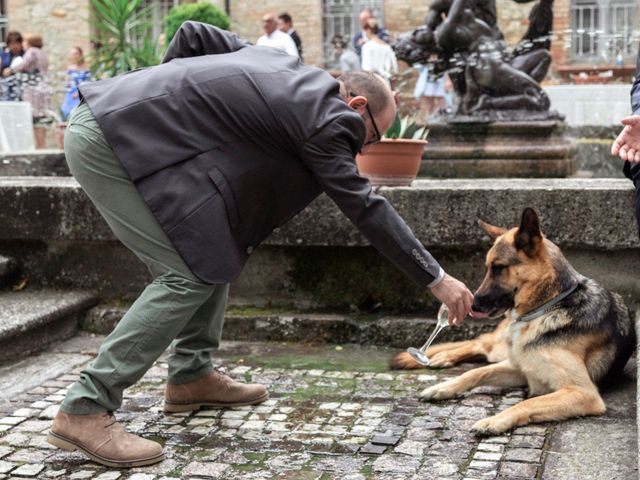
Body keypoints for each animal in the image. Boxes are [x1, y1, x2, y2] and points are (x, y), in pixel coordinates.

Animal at [390, 207, 636, 436]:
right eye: (487, 268)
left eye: (499, 268)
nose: (472, 306)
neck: (548, 306)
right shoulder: (519, 367)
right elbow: (475, 373)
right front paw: (444, 387)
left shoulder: (581, 392)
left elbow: (528, 402)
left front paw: (494, 420)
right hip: (500, 349)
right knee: (480, 343)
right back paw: (442, 357)